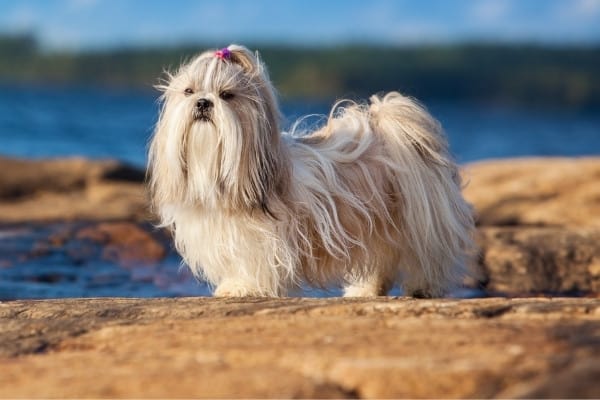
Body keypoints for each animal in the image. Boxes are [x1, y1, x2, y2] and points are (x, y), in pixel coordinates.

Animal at [148, 46, 476, 296]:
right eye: (189, 91)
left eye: (227, 94)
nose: (203, 102)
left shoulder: (264, 240)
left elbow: (255, 263)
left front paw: (244, 287)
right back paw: (366, 290)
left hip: (420, 221)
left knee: (429, 256)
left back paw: (424, 288)